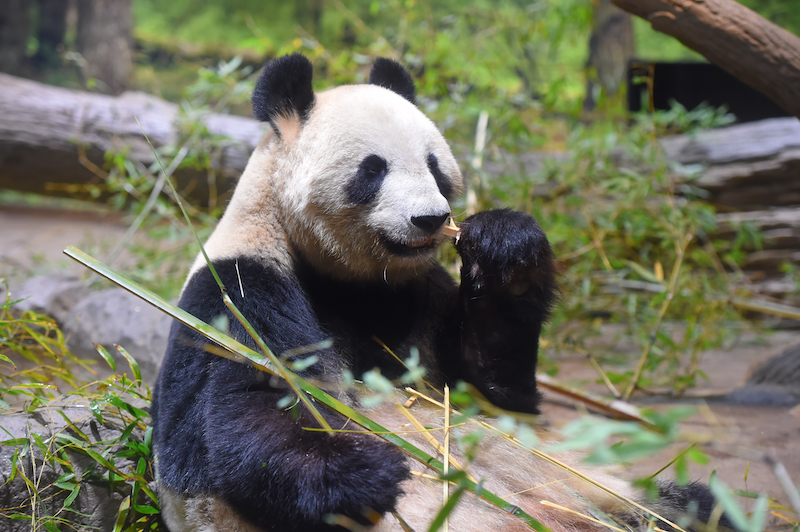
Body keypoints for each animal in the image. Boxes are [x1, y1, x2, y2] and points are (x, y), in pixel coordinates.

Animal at [148, 54, 724, 532]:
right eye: (372, 169)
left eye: (434, 166)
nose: (430, 219)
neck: (348, 280)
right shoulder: (241, 288)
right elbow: (238, 419)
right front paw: (367, 469)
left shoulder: (421, 296)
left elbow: (494, 391)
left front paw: (506, 248)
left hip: (595, 492)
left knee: (682, 505)